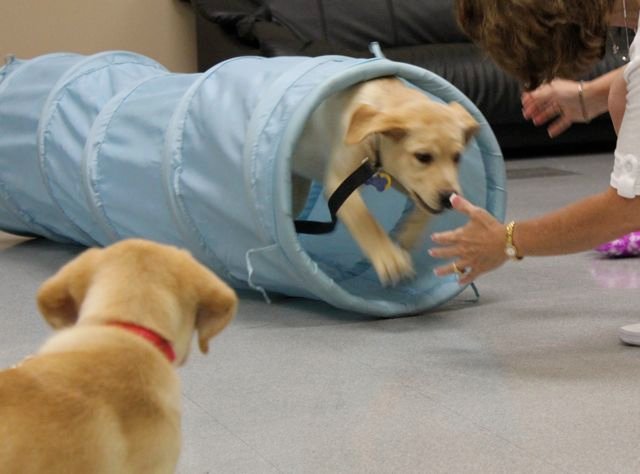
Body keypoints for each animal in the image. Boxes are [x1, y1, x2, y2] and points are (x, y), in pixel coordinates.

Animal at [292, 77, 478, 286]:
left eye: (457, 157)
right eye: (423, 156)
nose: (448, 199)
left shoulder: (400, 178)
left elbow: (424, 211)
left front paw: (406, 237)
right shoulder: (339, 183)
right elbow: (365, 219)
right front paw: (389, 258)